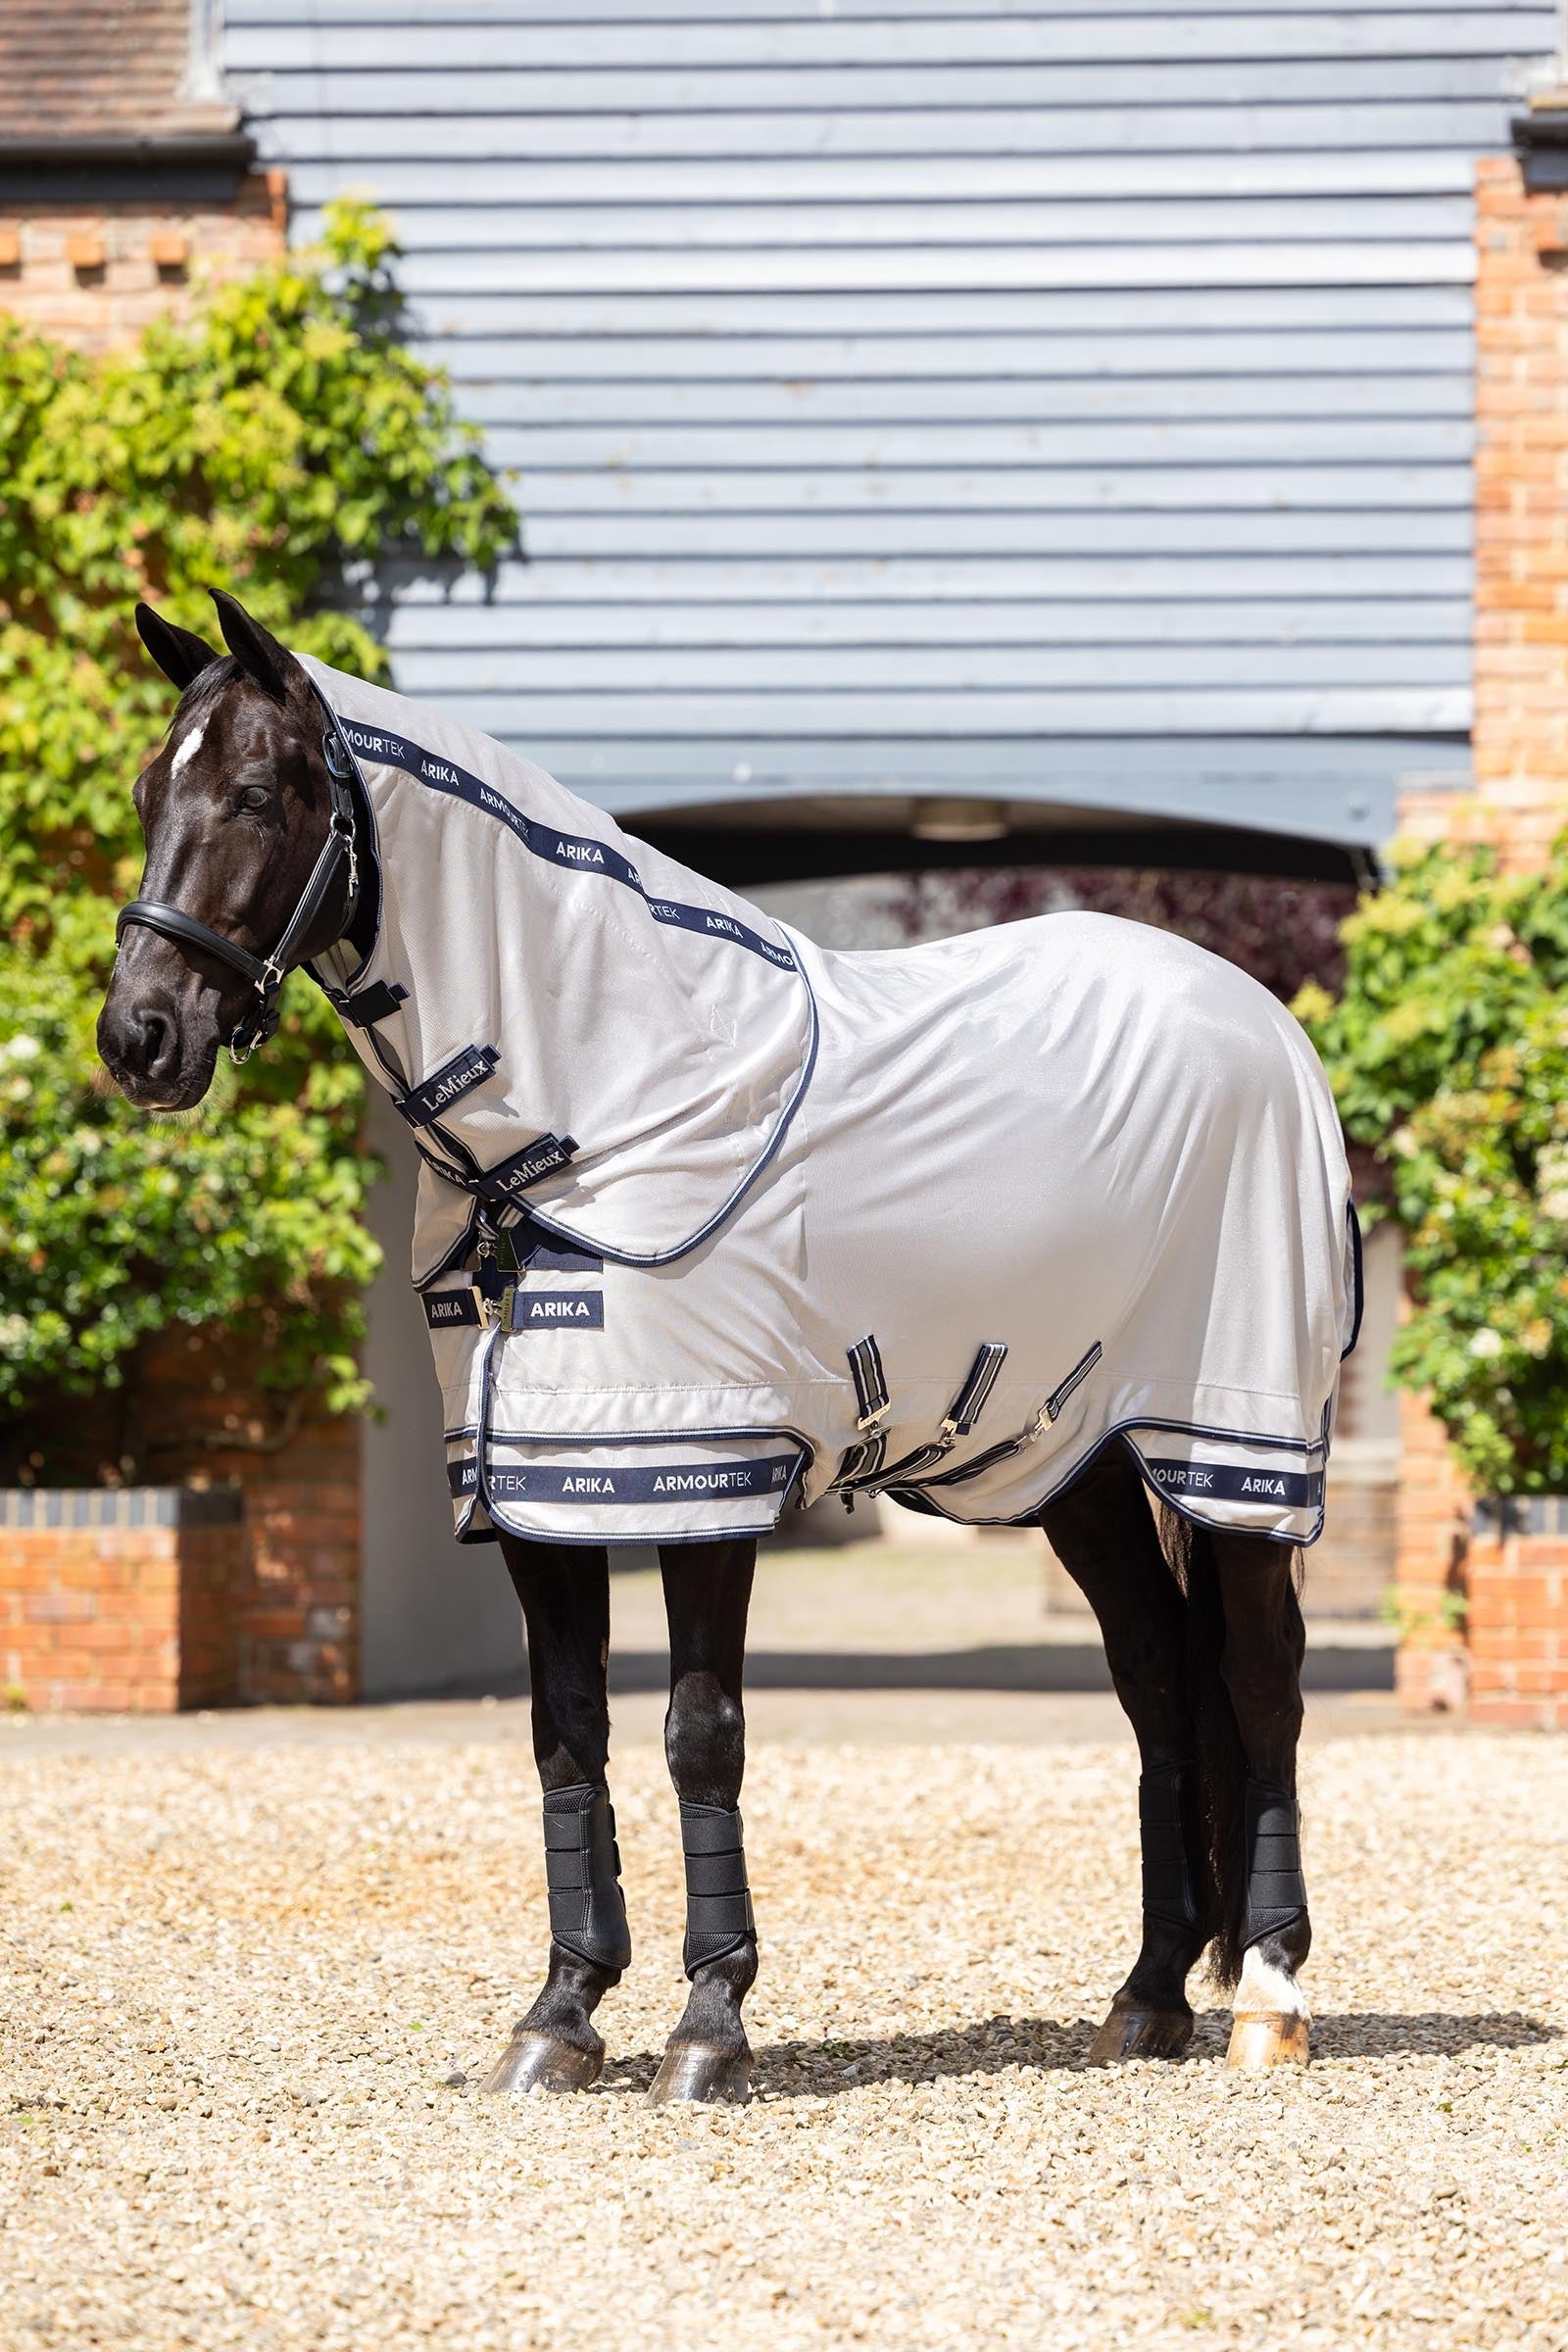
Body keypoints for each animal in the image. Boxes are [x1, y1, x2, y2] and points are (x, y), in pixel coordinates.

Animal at [98, 588, 1358, 2103]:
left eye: (253, 791)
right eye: (147, 788)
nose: (138, 1036)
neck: (602, 1102)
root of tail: (1262, 1022)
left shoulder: (703, 1474)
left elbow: (700, 1735)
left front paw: (708, 2025)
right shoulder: (537, 1493)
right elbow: (566, 1734)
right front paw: (560, 2014)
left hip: (1230, 1451)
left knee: (1262, 1682)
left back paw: (1268, 1999)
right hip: (1085, 1467)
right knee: (1159, 1684)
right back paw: (1149, 1998)